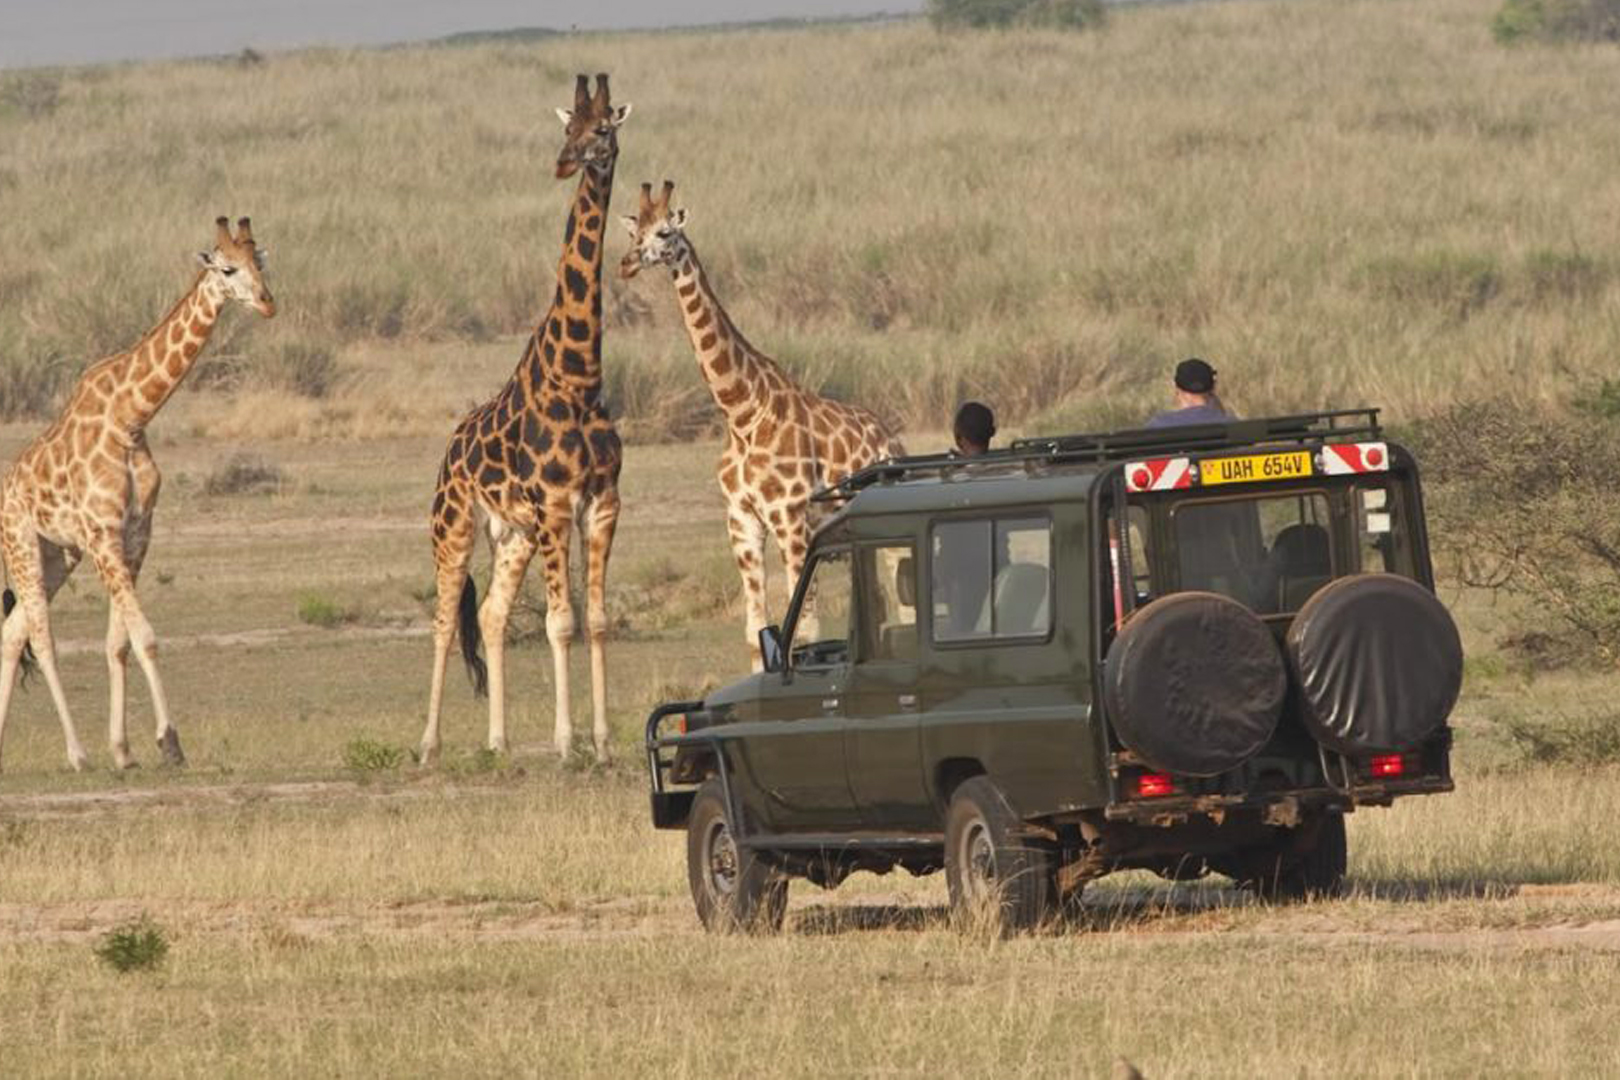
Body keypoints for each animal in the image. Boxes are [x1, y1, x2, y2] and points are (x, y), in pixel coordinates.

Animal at [0, 215, 275, 773]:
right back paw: (77, 754)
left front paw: (124, 750)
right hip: (22, 545)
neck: (132, 417)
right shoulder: (103, 534)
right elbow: (144, 637)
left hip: (58, 553)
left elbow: (118, 644)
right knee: (40, 636)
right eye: (228, 268)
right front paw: (169, 742)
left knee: (12, 634)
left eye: (262, 263)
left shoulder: (134, 534)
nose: (267, 302)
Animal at [421, 74, 628, 767]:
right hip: (454, 527)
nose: (564, 163)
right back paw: (428, 744)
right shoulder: (556, 505)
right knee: (443, 618)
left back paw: (499, 742)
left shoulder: (602, 503)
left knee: (489, 615)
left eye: (602, 129)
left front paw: (601, 742)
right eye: (567, 128)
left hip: (510, 534)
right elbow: (560, 622)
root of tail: (449, 451)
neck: (580, 377)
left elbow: (595, 620)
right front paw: (566, 744)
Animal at [618, 181, 907, 670]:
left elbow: (804, 627)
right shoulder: (741, 521)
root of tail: (893, 441)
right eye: (633, 231)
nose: (627, 262)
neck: (742, 413)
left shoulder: (790, 518)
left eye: (664, 232)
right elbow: (756, 632)